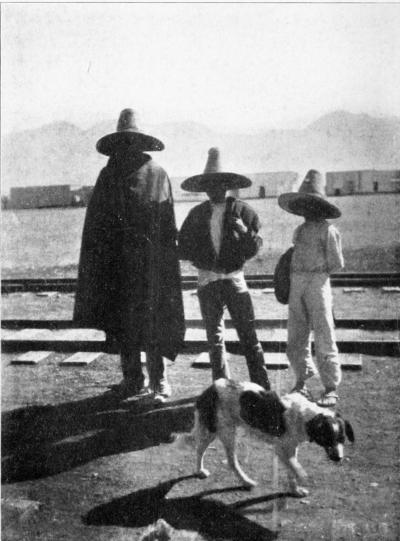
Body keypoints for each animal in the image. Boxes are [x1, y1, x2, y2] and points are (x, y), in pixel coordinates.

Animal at [187, 378, 354, 497]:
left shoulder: (291, 448)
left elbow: (291, 470)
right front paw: (302, 479)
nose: (339, 458)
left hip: (215, 431)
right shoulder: (281, 449)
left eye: (342, 439)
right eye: (327, 438)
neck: (304, 417)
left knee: (202, 450)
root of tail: (210, 389)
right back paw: (245, 481)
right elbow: (297, 469)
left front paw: (295, 490)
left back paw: (202, 471)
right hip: (224, 432)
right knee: (227, 460)